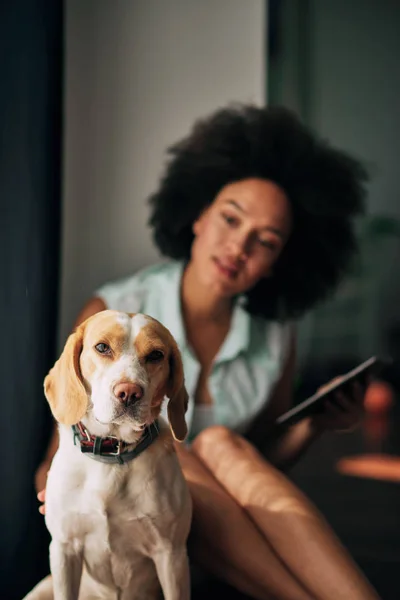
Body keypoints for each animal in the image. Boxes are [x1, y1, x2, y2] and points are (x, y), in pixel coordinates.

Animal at [24, 312, 192, 600]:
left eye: (156, 355)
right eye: (102, 347)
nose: (129, 393)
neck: (112, 455)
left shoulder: (172, 557)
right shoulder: (64, 549)